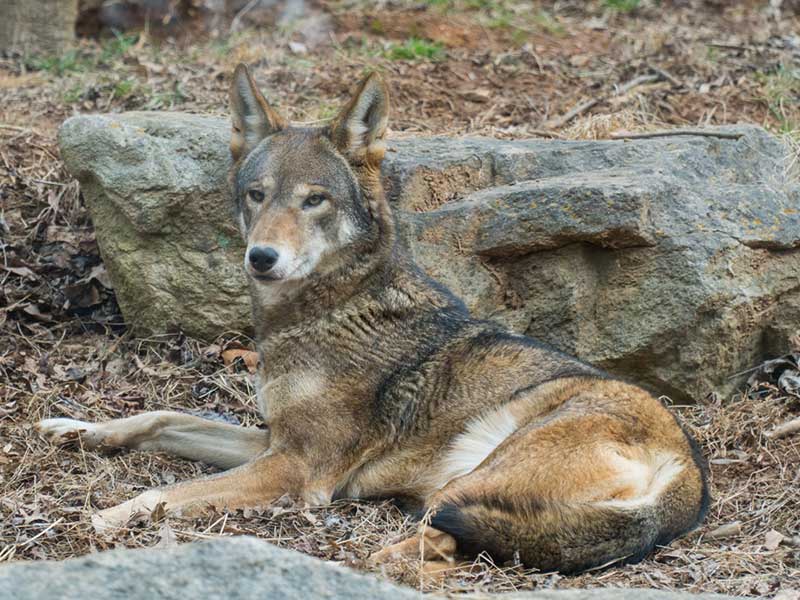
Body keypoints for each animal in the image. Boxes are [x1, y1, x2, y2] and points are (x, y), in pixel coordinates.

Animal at [38, 65, 709, 573]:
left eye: (315, 200)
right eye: (258, 194)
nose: (262, 257)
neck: (322, 313)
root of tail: (692, 474)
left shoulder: (298, 469)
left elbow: (161, 491)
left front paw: (102, 518)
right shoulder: (274, 441)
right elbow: (158, 419)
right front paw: (74, 429)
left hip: (468, 481)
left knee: (439, 540)